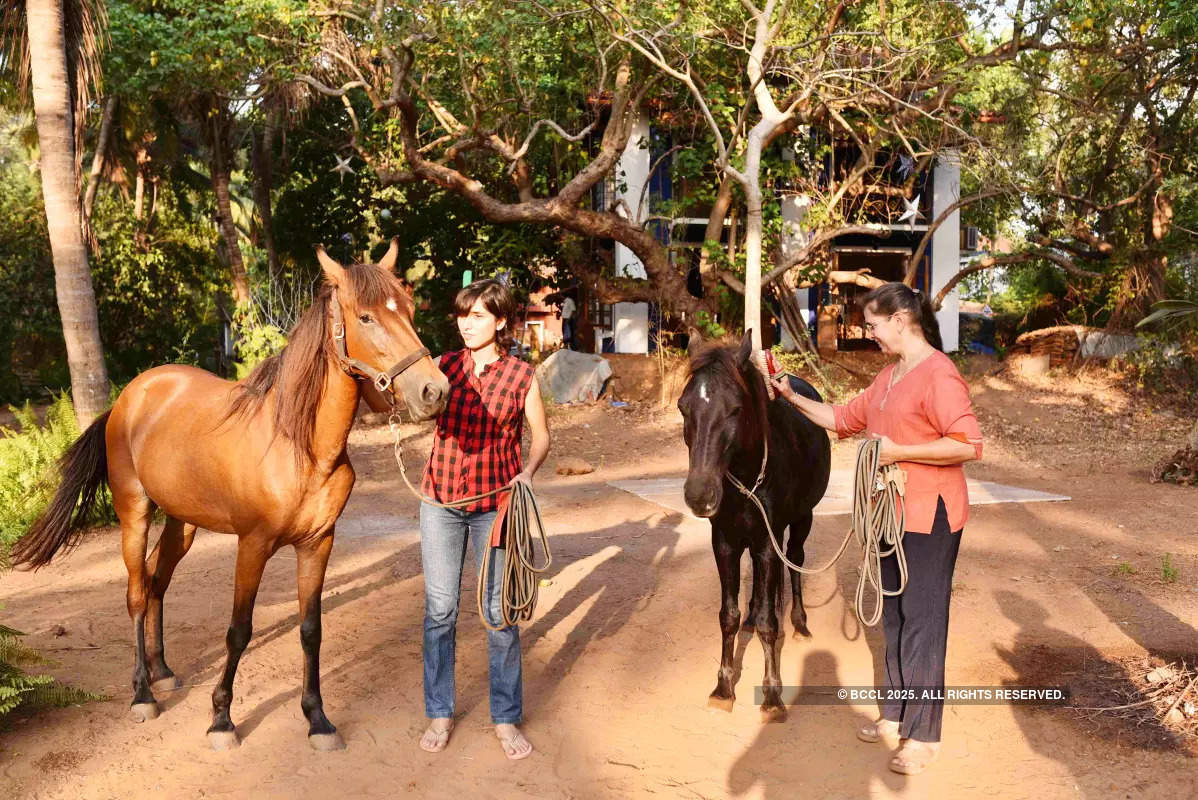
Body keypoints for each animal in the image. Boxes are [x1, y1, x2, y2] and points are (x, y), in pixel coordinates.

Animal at [14, 241, 448, 752]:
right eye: (365, 317)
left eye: (411, 309)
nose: (434, 391)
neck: (298, 446)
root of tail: (129, 396)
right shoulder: (253, 545)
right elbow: (239, 631)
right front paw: (221, 718)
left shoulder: (318, 544)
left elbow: (311, 630)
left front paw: (317, 719)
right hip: (134, 513)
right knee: (137, 592)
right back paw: (143, 693)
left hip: (181, 523)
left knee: (157, 582)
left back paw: (162, 672)